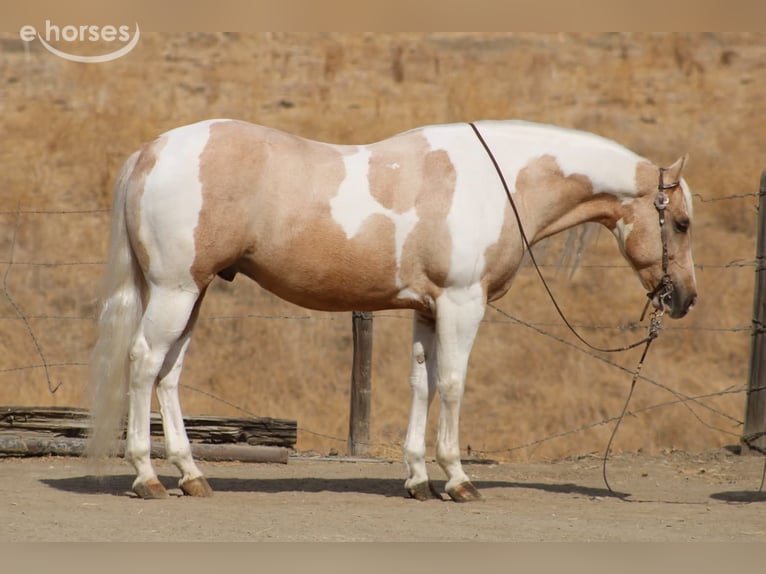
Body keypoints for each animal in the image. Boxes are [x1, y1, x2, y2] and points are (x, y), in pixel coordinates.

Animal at [86, 119, 697, 502]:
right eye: (683, 222)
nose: (686, 299)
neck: (495, 182)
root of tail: (151, 151)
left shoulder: (428, 310)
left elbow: (421, 385)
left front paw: (418, 480)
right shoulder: (461, 304)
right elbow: (452, 384)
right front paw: (457, 480)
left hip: (193, 293)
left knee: (170, 374)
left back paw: (191, 475)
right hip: (175, 290)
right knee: (143, 363)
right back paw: (147, 477)